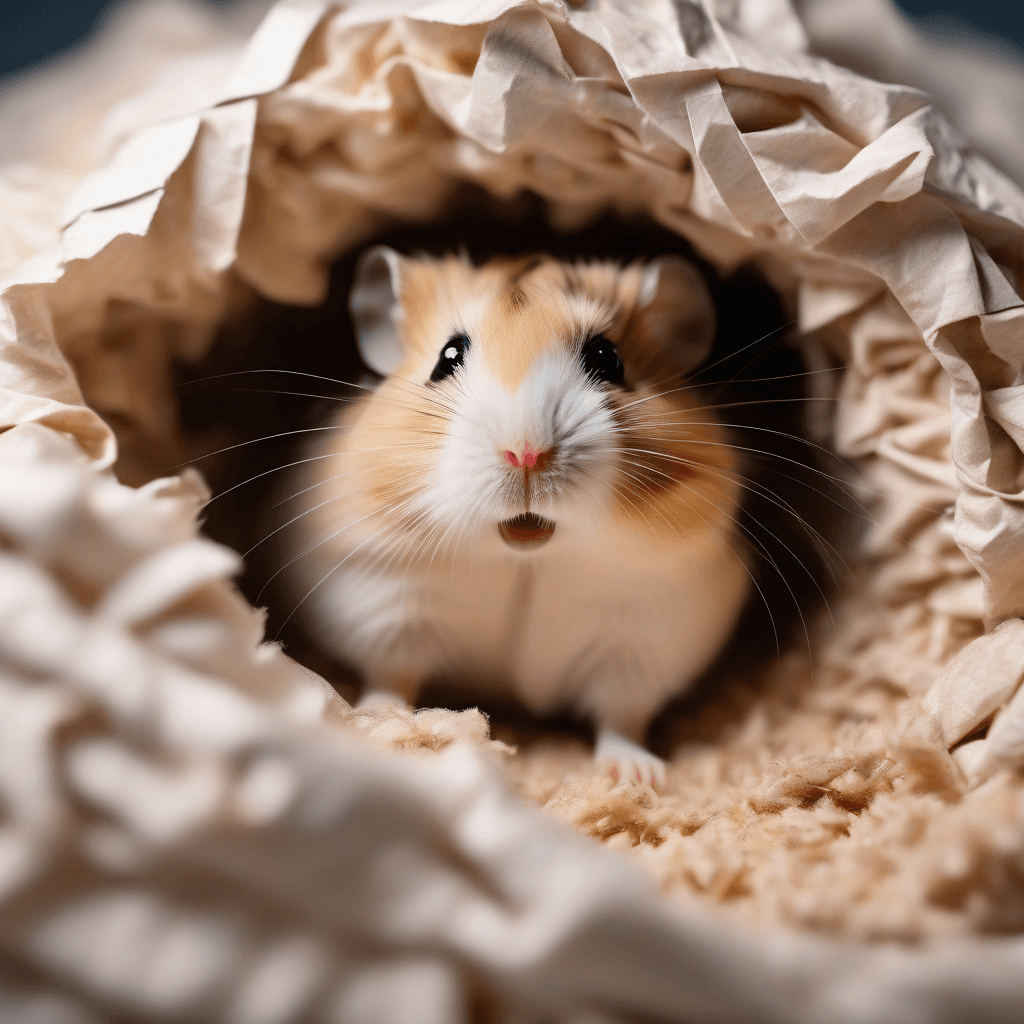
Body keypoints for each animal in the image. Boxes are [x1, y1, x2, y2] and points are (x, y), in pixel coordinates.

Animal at [280, 247, 751, 787]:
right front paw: (378, 723)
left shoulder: (640, 634)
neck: (526, 557)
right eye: (447, 358)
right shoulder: (388, 600)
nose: (525, 453)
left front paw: (637, 776)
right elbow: (392, 675)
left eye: (607, 357)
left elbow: (622, 714)